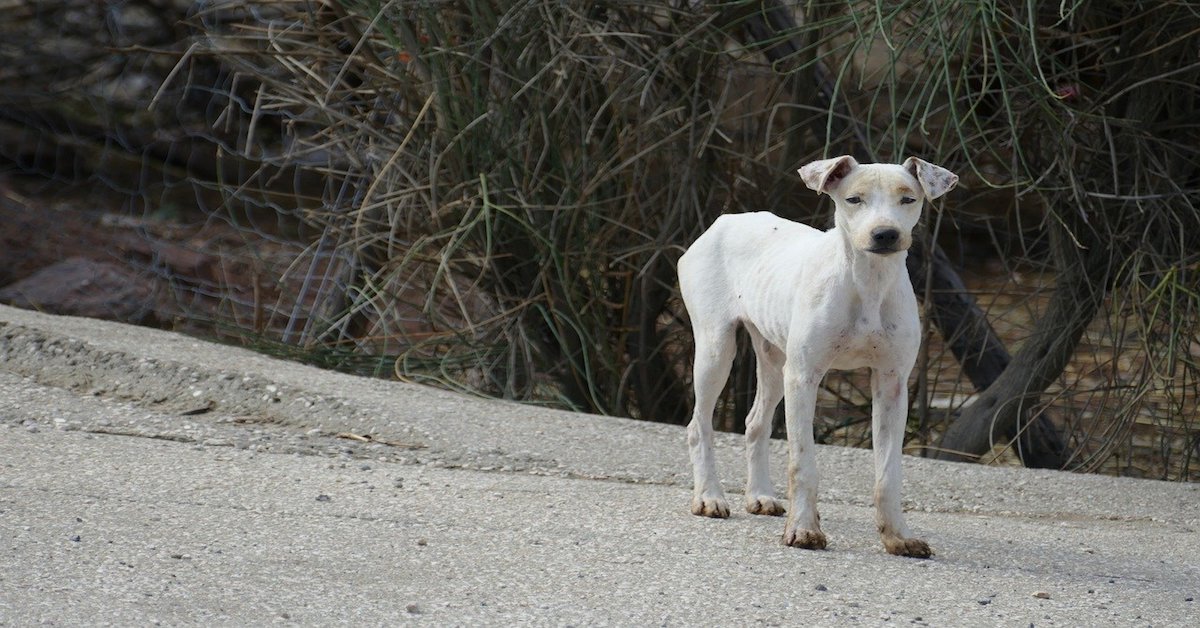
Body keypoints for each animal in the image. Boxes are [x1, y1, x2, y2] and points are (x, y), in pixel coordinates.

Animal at [681, 154, 960, 557]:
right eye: (854, 199)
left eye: (908, 199)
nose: (886, 234)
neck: (868, 282)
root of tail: (725, 220)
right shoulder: (804, 377)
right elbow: (803, 464)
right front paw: (803, 530)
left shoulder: (892, 384)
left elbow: (888, 473)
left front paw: (898, 536)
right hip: (717, 351)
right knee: (699, 425)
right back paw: (709, 497)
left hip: (773, 360)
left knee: (755, 423)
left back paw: (760, 495)